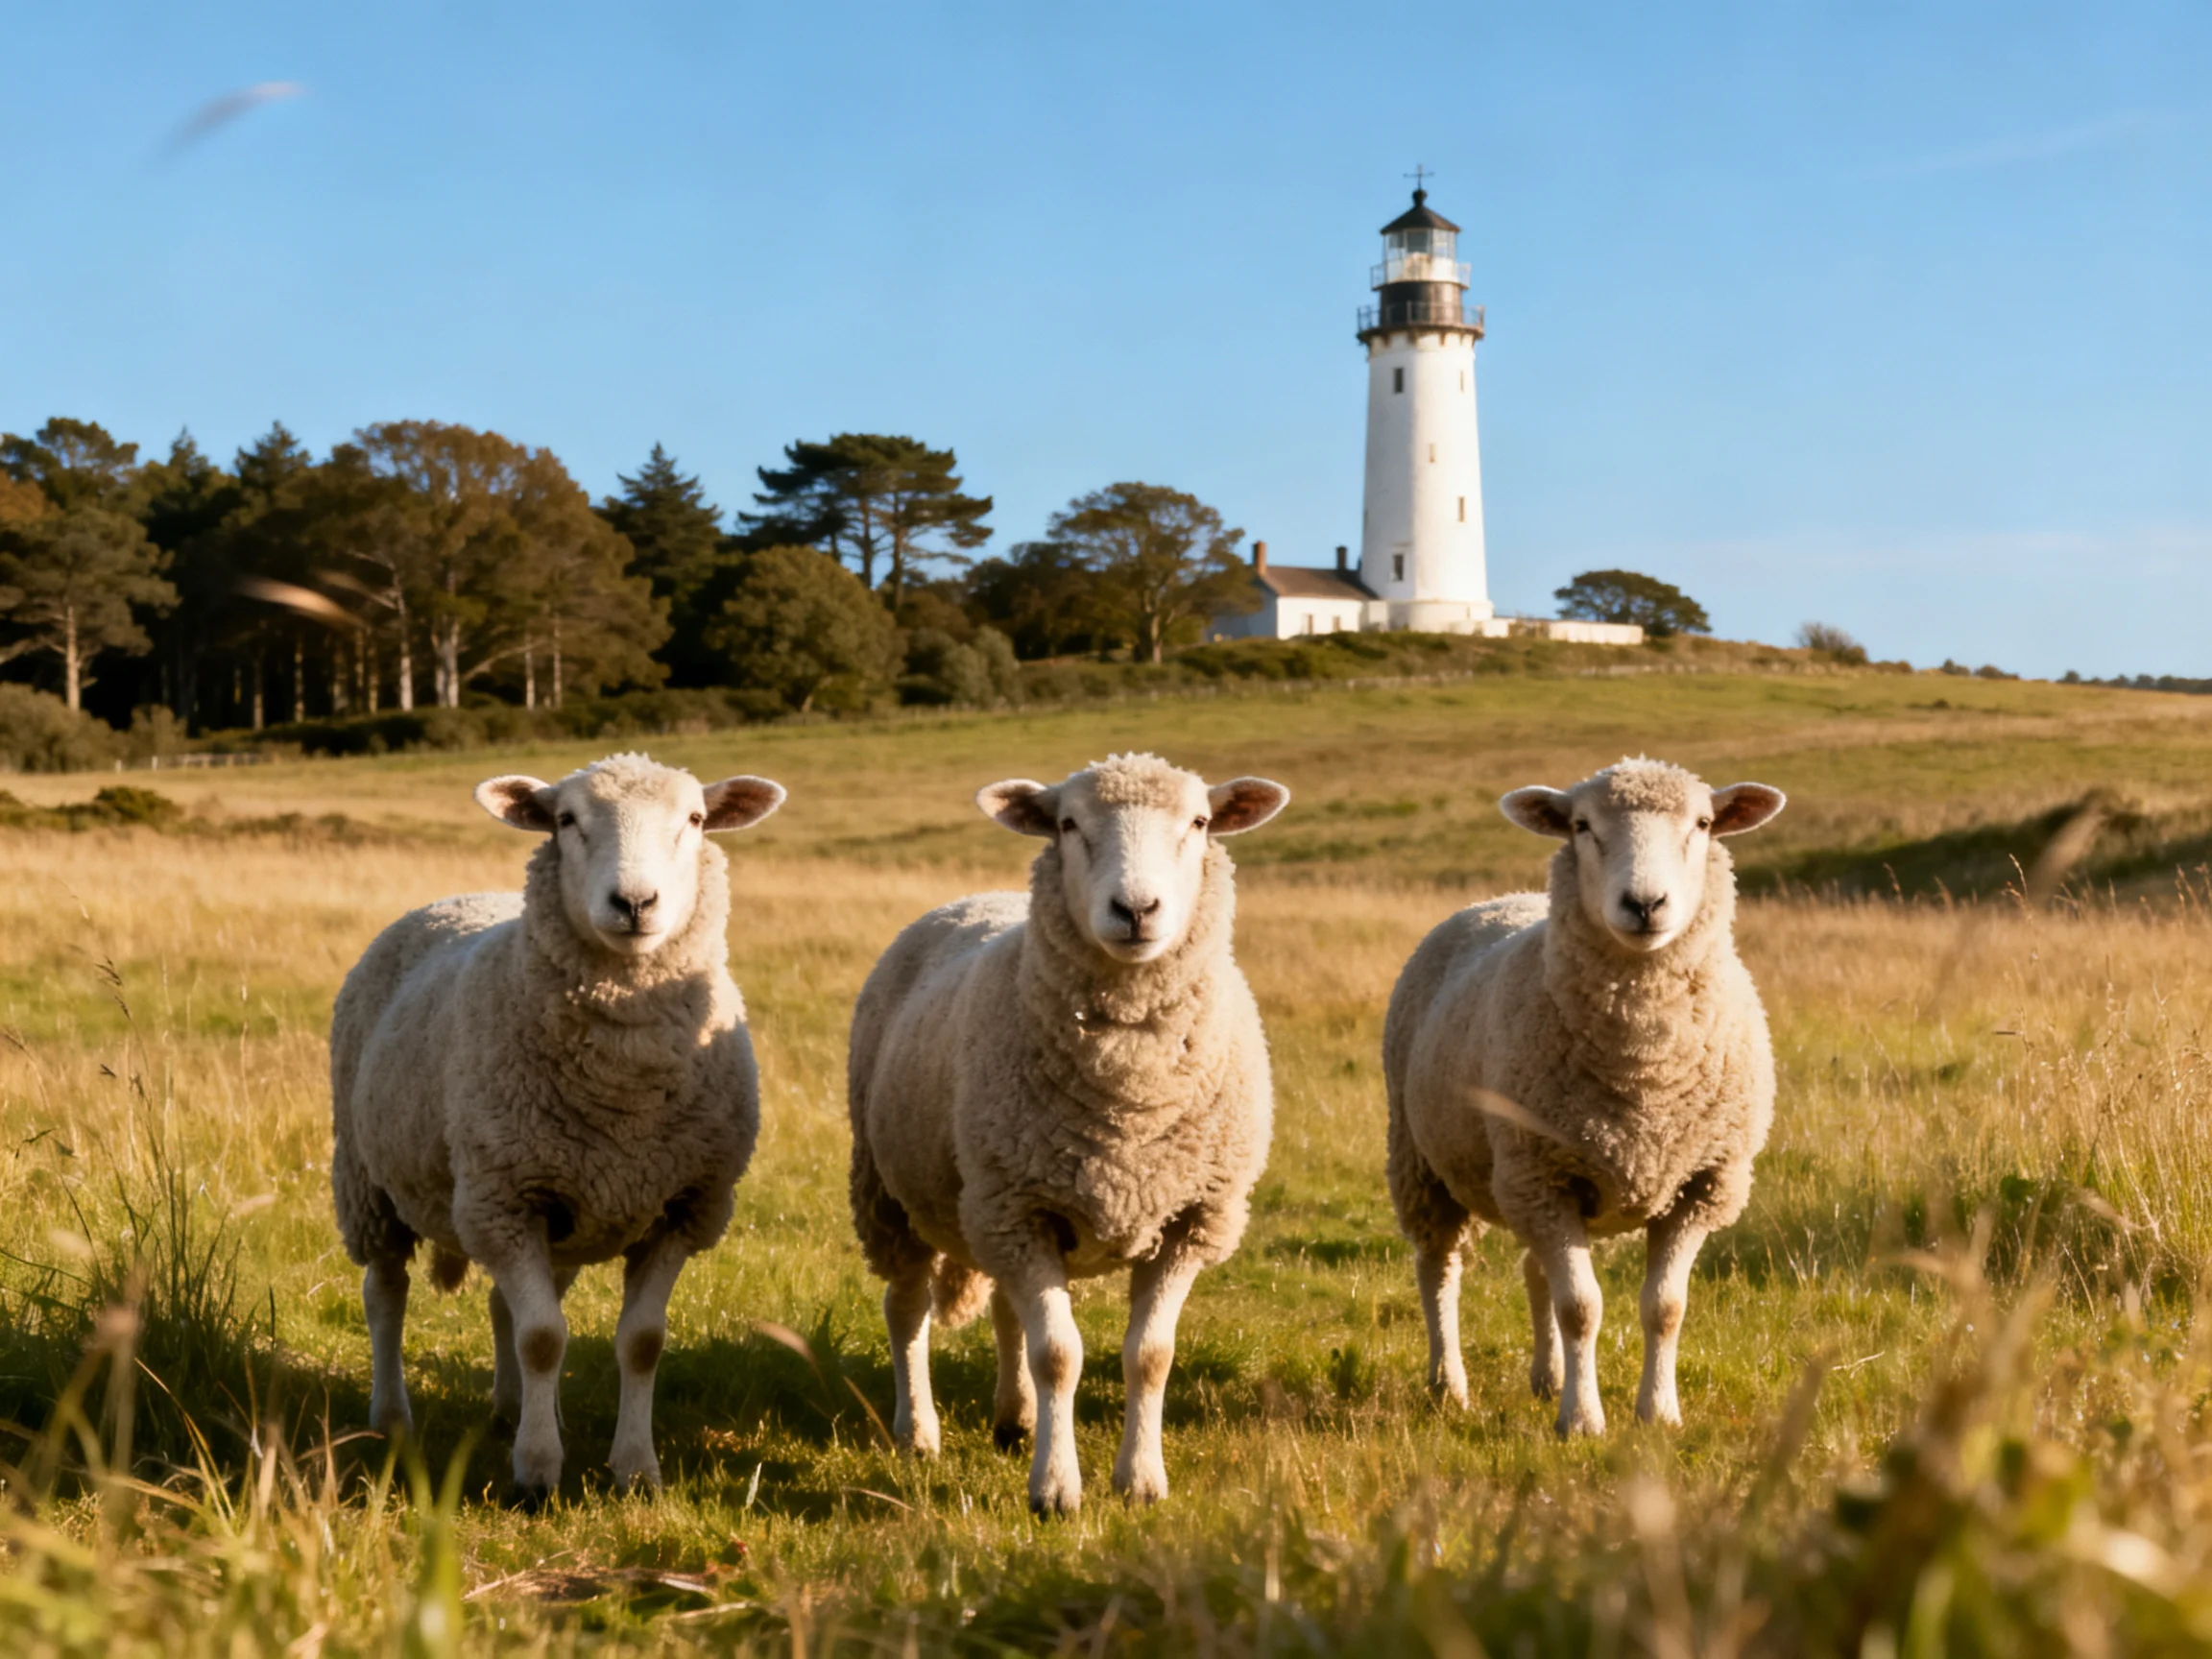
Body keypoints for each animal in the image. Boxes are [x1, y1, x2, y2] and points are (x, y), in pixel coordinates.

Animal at [329, 752, 785, 1499]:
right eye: (566, 820)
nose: (635, 903)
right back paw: (392, 1417)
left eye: (694, 819)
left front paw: (635, 1468)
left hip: (558, 1218)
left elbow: (640, 1342)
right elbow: (544, 1339)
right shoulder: (505, 1200)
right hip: (369, 1183)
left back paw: (512, 1408)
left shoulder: (681, 1206)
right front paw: (538, 1472)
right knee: (385, 1295)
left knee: (501, 1307)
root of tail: (456, 897)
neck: (623, 1085)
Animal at [847, 752, 1289, 1515]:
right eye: (1068, 824)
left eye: (1200, 822)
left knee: (1004, 1309)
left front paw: (1140, 1480)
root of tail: (974, 898)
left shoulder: (1187, 1218)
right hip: (892, 1194)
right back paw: (918, 1432)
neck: (1130, 1092)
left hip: (995, 1206)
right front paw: (1056, 1490)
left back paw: (1014, 1420)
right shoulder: (1023, 1210)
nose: (1136, 910)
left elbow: (1150, 1356)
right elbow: (1058, 1355)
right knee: (906, 1310)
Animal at [1383, 757, 1785, 1437]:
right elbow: (1581, 1308)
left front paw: (1658, 1413)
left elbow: (1666, 1307)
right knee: (1438, 1269)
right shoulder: (1545, 1178)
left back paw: (1546, 1378)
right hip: (1424, 1161)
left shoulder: (1700, 1184)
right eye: (1581, 826)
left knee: (1533, 1270)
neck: (1646, 1067)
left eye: (1703, 823)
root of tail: (1501, 900)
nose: (1645, 903)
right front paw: (1582, 1420)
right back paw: (1449, 1385)